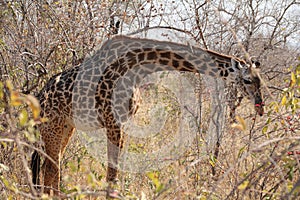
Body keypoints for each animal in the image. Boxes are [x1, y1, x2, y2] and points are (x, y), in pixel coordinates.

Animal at [31, 35, 264, 196]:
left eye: (260, 79)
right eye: (247, 80)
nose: (260, 107)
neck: (138, 67)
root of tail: (39, 99)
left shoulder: (124, 122)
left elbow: (119, 170)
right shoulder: (112, 120)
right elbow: (112, 174)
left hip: (66, 127)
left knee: (49, 167)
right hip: (52, 127)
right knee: (50, 168)